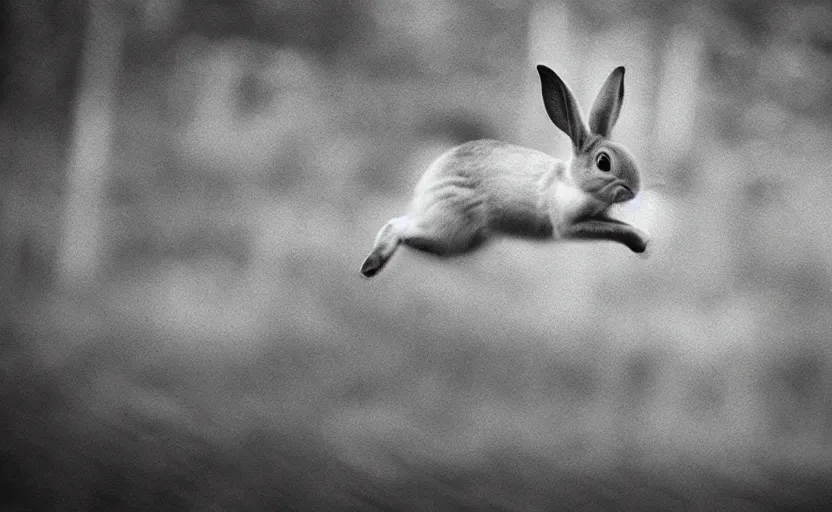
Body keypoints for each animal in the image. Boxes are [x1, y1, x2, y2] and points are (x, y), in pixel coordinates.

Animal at [360, 66, 648, 280]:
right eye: (603, 162)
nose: (634, 190)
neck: (575, 183)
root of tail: (423, 191)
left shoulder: (601, 215)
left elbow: (618, 225)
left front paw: (642, 240)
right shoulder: (569, 225)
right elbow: (606, 229)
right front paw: (640, 241)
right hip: (449, 231)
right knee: (397, 226)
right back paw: (371, 264)